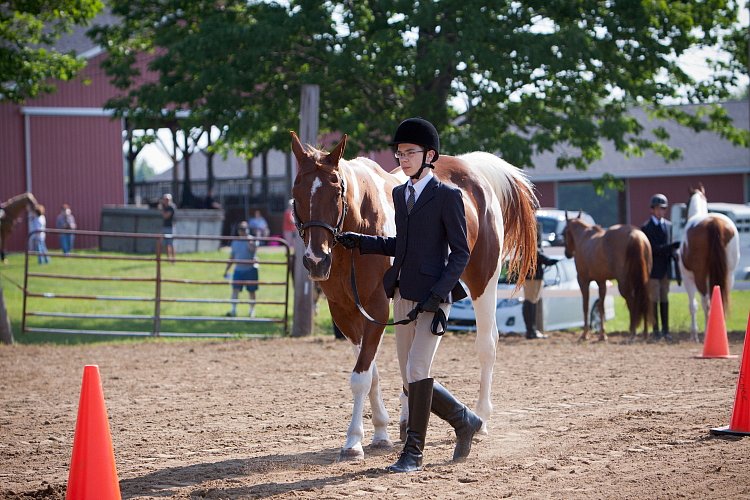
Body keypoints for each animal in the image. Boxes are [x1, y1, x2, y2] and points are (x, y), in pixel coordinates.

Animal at [290, 130, 540, 460]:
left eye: (335, 192)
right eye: (297, 191)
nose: (316, 261)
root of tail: (471, 169)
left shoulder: (377, 308)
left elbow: (360, 377)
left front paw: (353, 441)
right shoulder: (344, 312)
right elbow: (371, 373)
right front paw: (380, 432)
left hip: (483, 282)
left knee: (487, 344)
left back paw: (482, 418)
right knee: (415, 359)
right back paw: (407, 418)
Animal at [564, 213, 652, 342]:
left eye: (564, 233)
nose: (567, 253)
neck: (584, 238)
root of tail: (635, 235)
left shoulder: (583, 281)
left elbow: (586, 306)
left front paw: (585, 334)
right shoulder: (601, 281)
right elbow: (601, 307)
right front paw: (602, 335)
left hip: (623, 283)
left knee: (632, 302)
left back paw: (633, 332)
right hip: (642, 280)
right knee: (643, 299)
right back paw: (645, 333)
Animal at [680, 186, 744, 342]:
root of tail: (713, 222)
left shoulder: (687, 277)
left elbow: (693, 305)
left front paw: (694, 334)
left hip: (699, 275)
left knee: (705, 302)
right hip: (729, 274)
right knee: (722, 299)